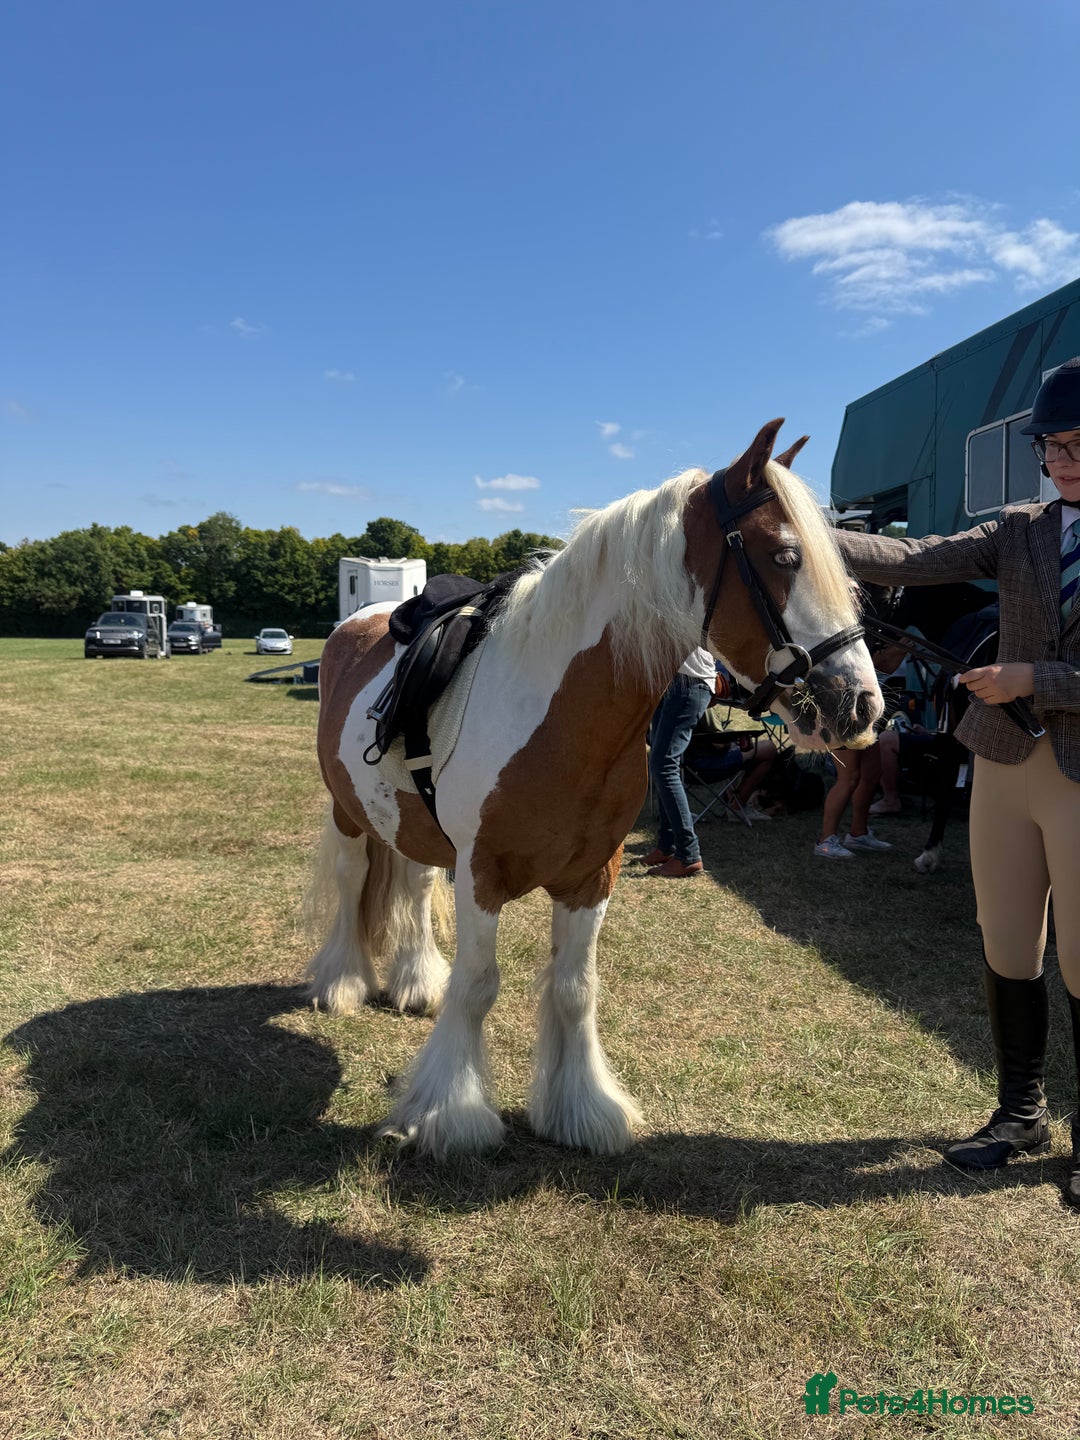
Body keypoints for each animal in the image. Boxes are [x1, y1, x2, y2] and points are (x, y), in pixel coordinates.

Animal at [309, 419, 884, 1158]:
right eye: (785, 557)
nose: (862, 706)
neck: (559, 714)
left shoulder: (592, 877)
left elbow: (575, 988)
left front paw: (581, 1111)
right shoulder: (481, 874)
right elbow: (478, 986)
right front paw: (451, 1115)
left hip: (411, 821)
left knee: (410, 882)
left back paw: (415, 982)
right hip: (348, 813)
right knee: (354, 877)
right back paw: (343, 982)